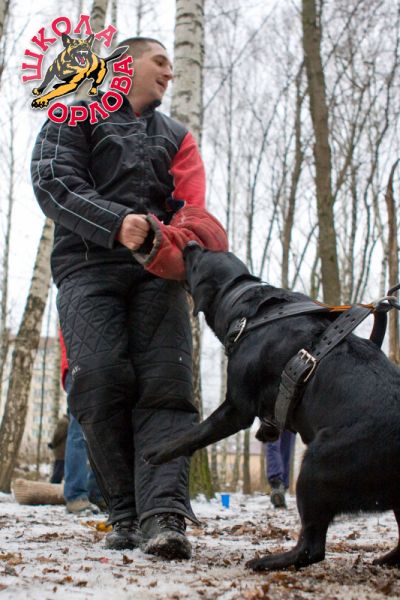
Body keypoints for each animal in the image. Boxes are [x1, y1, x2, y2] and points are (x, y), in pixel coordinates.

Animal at [144, 243, 400, 571]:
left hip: (314, 469)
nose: (190, 245)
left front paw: (158, 452)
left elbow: (194, 434)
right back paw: (387, 559)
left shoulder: (236, 408)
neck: (247, 308)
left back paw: (268, 561)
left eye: (198, 259)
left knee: (311, 548)